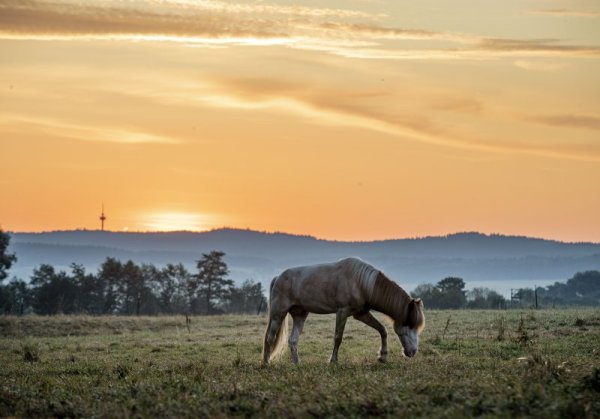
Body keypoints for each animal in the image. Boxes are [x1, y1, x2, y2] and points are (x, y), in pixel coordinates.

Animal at [260, 256, 424, 364]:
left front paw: (382, 356)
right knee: (270, 338)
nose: (412, 352)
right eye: (410, 325)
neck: (360, 282)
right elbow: (338, 337)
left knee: (293, 340)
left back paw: (296, 364)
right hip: (278, 314)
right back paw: (266, 363)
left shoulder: (361, 314)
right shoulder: (342, 312)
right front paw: (333, 361)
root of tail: (278, 277)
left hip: (300, 315)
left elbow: (382, 330)